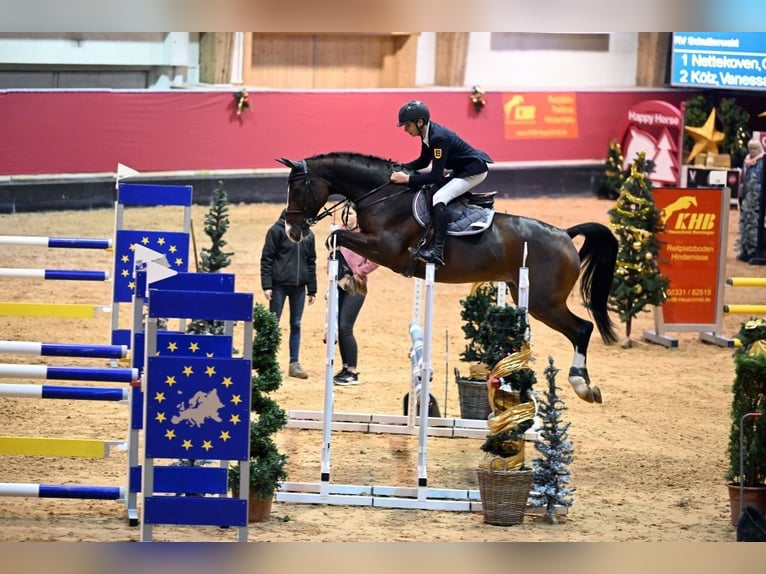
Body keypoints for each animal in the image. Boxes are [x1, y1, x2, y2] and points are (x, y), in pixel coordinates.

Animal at [280, 153, 620, 404]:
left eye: (297, 190)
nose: (291, 231)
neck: (384, 196)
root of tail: (564, 234)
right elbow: (336, 240)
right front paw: (347, 279)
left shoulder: (386, 249)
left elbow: (336, 237)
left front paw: (349, 280)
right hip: (525, 295)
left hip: (543, 302)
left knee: (582, 329)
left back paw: (583, 386)